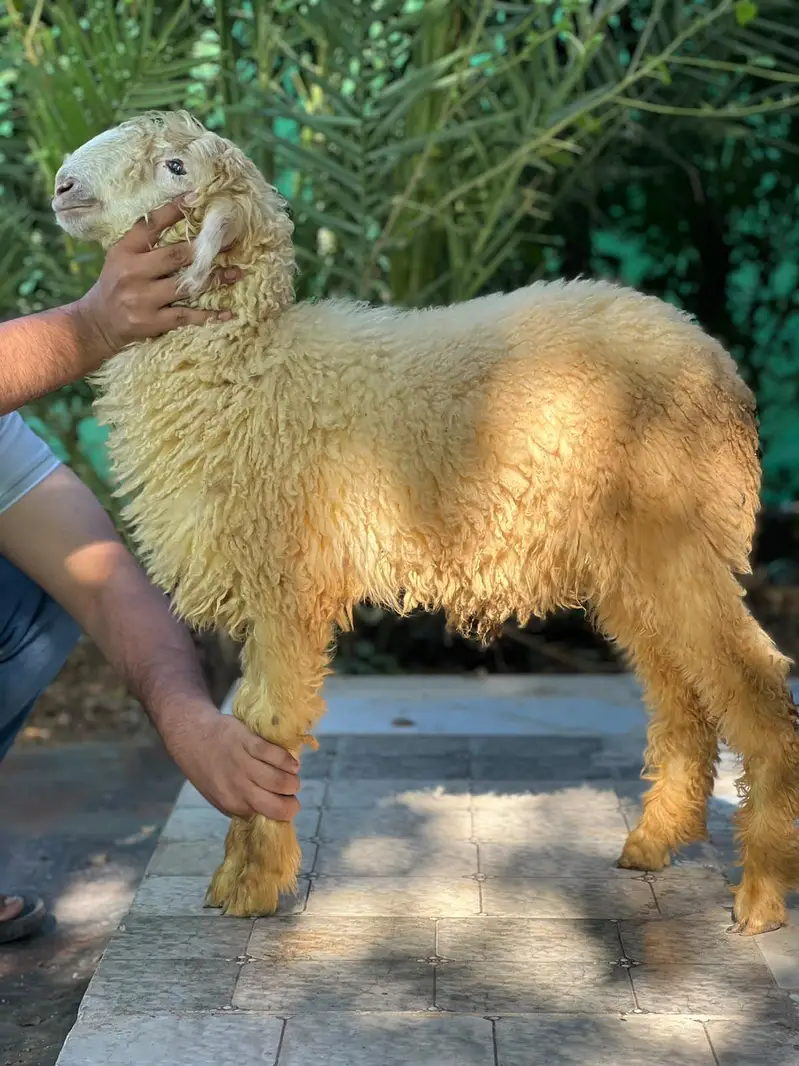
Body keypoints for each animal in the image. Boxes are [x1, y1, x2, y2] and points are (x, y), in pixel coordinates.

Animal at [52, 109, 799, 934]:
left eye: (177, 167)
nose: (63, 185)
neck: (252, 371)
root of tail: (718, 364)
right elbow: (246, 723)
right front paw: (234, 876)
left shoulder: (286, 581)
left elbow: (269, 721)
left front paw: (254, 888)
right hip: (634, 561)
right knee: (681, 697)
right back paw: (653, 842)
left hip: (677, 536)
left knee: (752, 680)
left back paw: (761, 891)